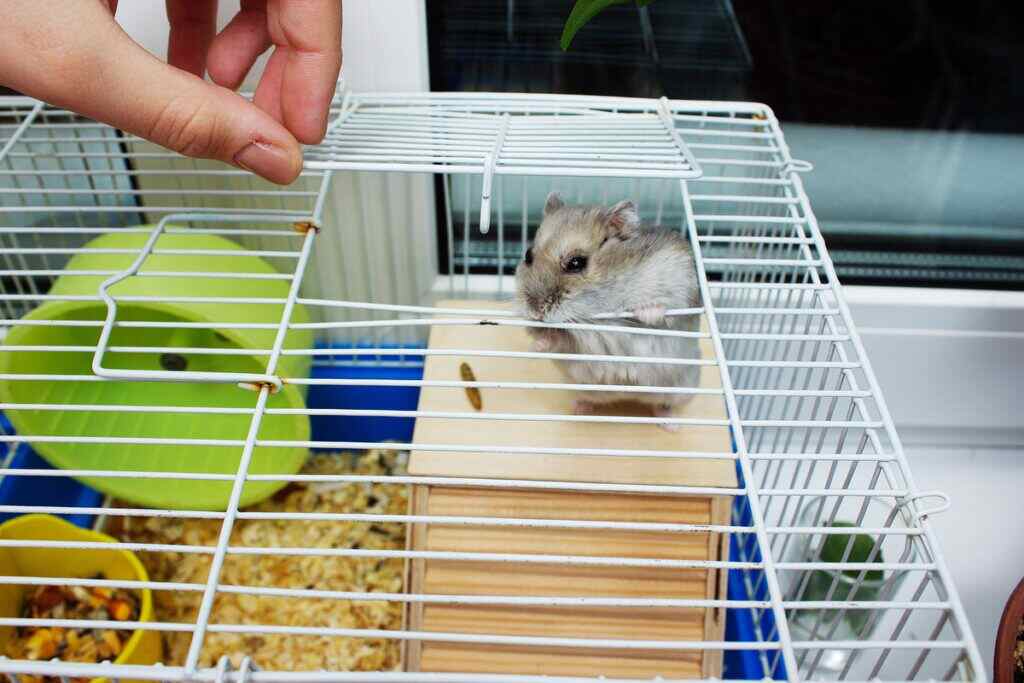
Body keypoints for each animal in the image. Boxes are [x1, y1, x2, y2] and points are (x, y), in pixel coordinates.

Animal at [514, 192, 702, 428]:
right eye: (528, 255)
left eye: (576, 263)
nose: (535, 311)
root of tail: (631, 397)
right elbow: (554, 339)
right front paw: (535, 346)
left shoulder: (678, 281)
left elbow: (665, 308)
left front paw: (648, 311)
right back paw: (579, 410)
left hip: (683, 386)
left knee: (668, 405)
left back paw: (671, 425)